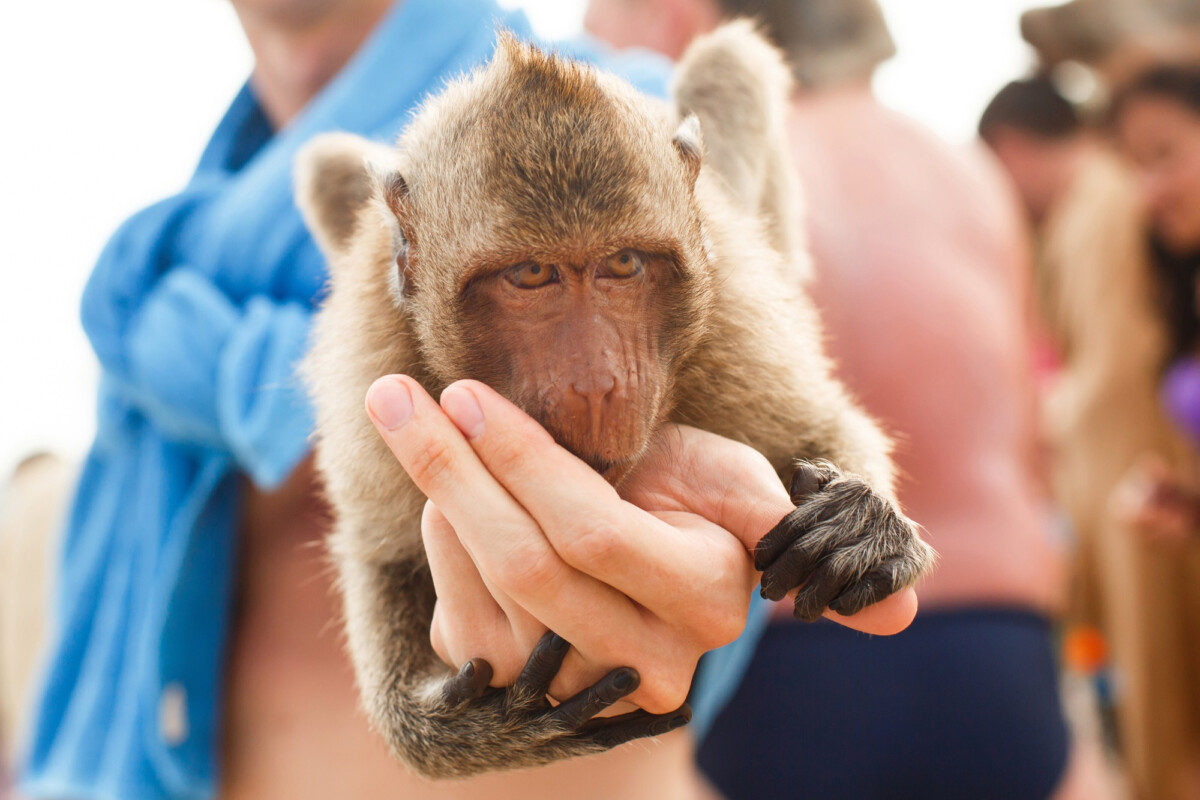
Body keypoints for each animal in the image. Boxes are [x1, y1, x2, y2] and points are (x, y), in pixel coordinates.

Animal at [295, 20, 931, 782]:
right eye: (530, 274)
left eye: (623, 264)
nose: (598, 383)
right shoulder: (373, 360)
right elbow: (381, 554)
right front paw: (457, 734)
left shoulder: (729, 326)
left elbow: (817, 427)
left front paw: (860, 519)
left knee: (728, 62)